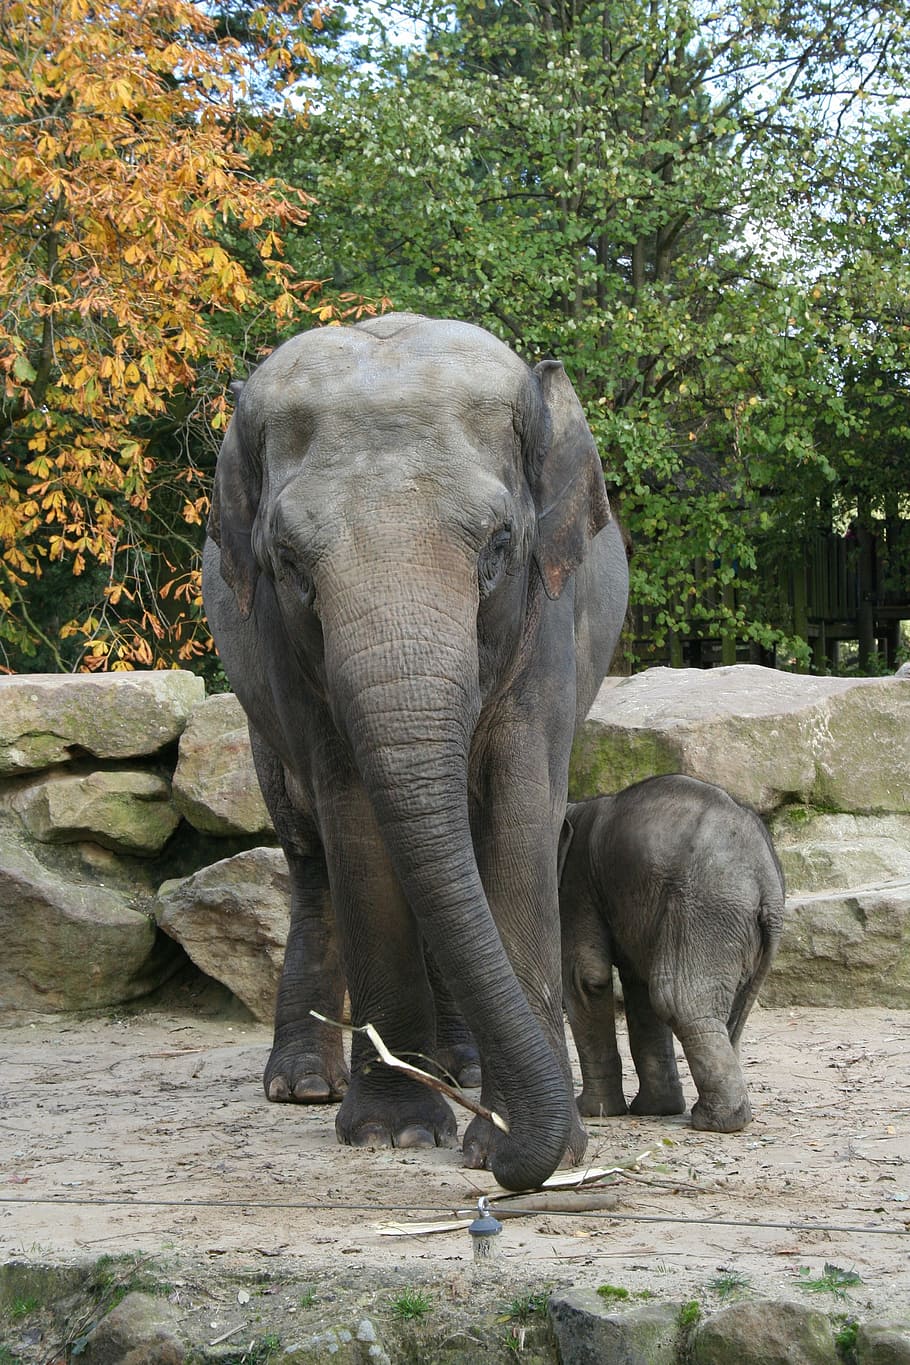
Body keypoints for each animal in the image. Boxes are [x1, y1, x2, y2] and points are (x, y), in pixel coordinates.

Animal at [202, 312, 629, 1191]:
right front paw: (394, 1133)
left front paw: (524, 1143)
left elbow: (520, 812)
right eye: (288, 562)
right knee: (311, 859)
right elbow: (358, 827)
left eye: (499, 544)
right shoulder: (291, 661)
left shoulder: (546, 623)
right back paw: (304, 1083)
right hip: (258, 722)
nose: (511, 1158)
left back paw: (462, 1070)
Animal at [558, 775, 784, 1132]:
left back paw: (713, 1121)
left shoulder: (577, 885)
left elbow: (587, 976)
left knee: (676, 999)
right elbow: (637, 987)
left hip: (707, 911)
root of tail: (768, 886)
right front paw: (656, 1110)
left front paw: (593, 1111)